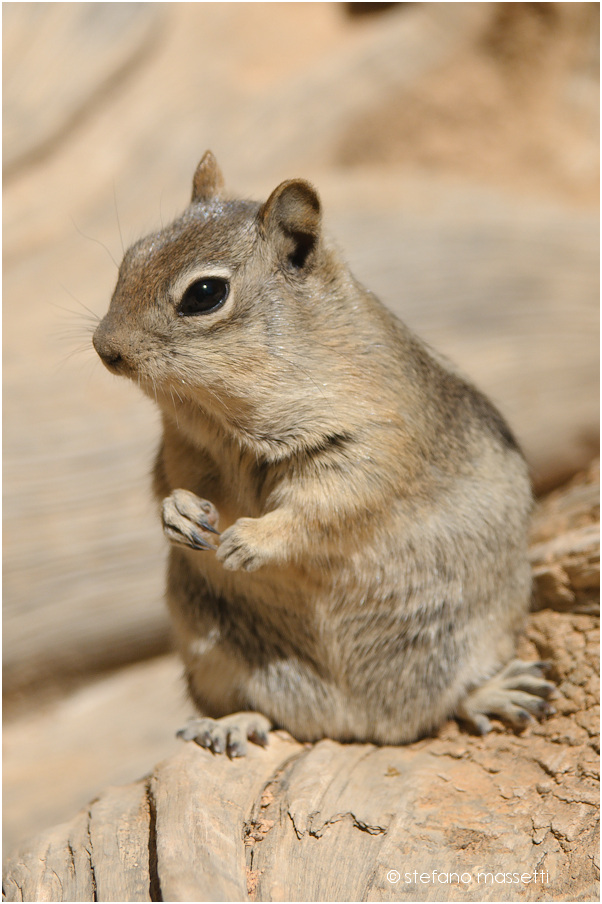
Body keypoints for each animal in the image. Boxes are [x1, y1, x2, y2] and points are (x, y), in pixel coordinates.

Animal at [93, 151, 554, 757]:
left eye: (204, 294)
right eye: (132, 257)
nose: (104, 348)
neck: (222, 421)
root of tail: (359, 724)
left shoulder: (373, 440)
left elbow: (329, 506)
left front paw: (251, 540)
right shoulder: (181, 450)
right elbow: (165, 488)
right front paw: (181, 514)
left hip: (481, 631)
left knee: (451, 696)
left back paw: (494, 692)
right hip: (212, 653)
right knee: (267, 713)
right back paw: (231, 722)